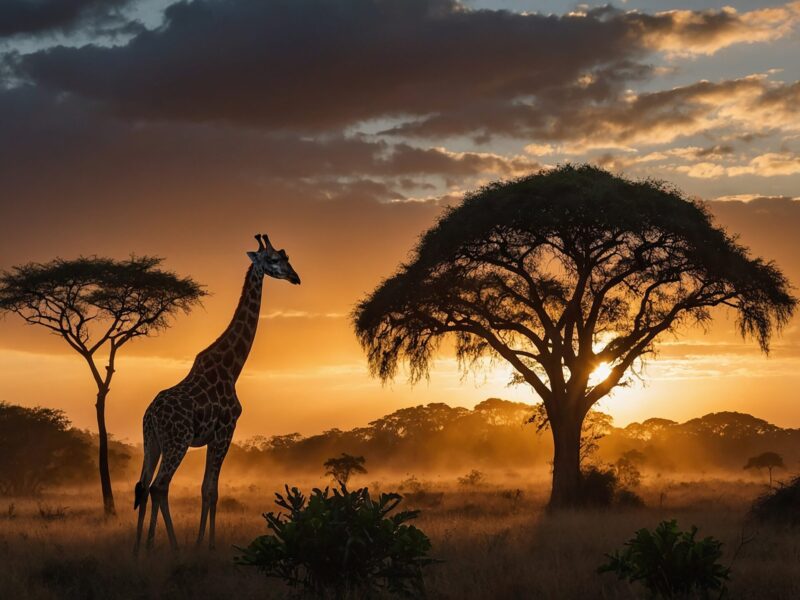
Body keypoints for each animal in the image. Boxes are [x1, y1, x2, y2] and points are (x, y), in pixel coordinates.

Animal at [133, 233, 300, 554]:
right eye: (274, 259)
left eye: (287, 257)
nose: (296, 277)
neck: (231, 368)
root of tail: (150, 415)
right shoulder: (225, 431)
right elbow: (212, 490)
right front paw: (205, 546)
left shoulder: (213, 436)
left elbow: (205, 489)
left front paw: (202, 543)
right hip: (177, 441)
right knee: (160, 486)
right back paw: (173, 548)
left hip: (152, 442)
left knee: (143, 486)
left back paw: (141, 551)